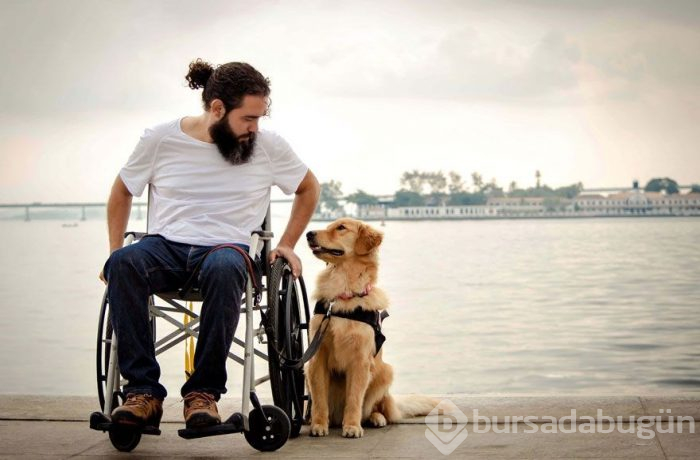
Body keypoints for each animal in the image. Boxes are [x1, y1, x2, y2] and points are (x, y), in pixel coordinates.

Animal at [304, 219, 434, 438]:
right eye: (328, 226)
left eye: (341, 228)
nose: (309, 234)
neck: (343, 293)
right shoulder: (317, 356)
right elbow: (319, 398)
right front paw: (319, 425)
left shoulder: (360, 360)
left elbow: (355, 399)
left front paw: (352, 427)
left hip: (385, 373)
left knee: (375, 408)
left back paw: (375, 418)